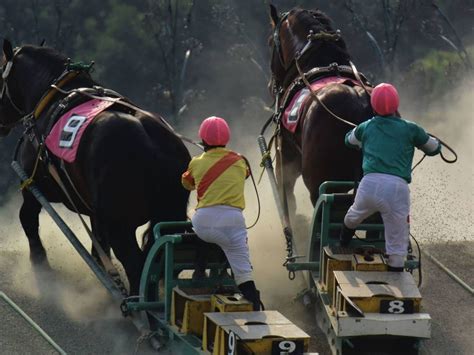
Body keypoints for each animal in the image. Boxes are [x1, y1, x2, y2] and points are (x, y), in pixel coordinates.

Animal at [1, 39, 191, 294]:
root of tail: (154, 145)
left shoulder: (34, 185)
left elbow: (27, 219)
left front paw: (40, 265)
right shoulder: (95, 213)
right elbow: (99, 248)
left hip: (120, 224)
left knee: (136, 265)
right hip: (169, 214)